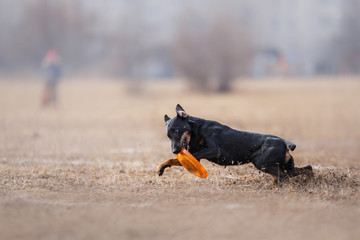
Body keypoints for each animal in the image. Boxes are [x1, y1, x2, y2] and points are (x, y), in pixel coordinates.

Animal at [158, 103, 312, 184]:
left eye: (176, 130)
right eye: (168, 136)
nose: (175, 150)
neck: (197, 129)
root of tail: (285, 143)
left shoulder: (214, 150)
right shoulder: (197, 157)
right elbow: (171, 160)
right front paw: (161, 168)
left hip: (261, 162)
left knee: (282, 176)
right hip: (284, 166)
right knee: (306, 169)